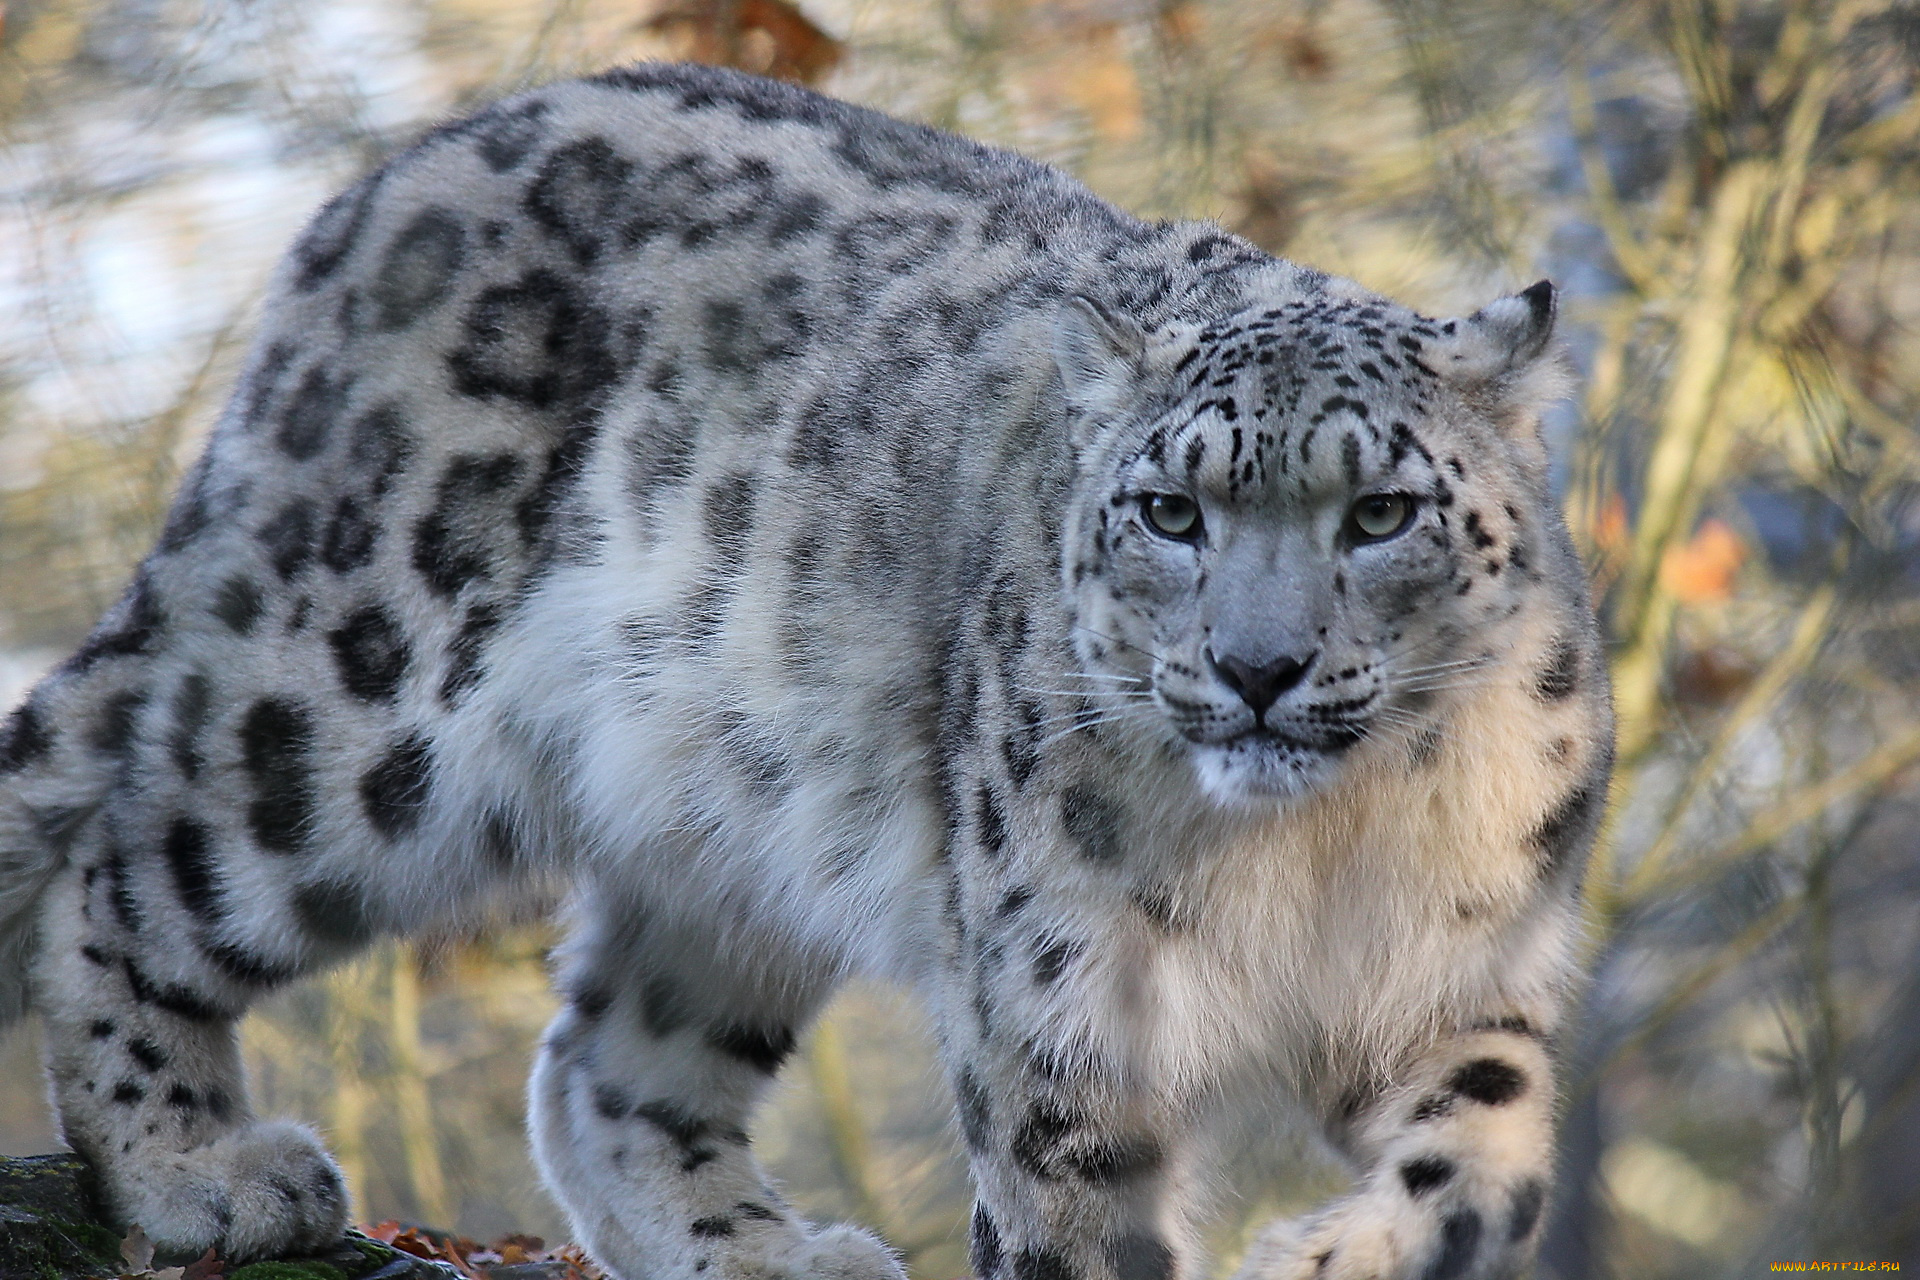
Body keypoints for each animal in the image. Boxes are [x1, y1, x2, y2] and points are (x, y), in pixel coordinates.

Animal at [0, 62, 1605, 1280]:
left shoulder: (1461, 976)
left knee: (602, 1062)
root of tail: (379, 187)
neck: (1322, 849)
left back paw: (768, 1251)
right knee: (129, 868)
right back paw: (198, 1167)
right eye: (1170, 511)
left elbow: (1491, 1159)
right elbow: (1071, 1233)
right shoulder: (1059, 1020)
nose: (1258, 667)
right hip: (361, 706)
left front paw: (1331, 1250)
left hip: (729, 818)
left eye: (1379, 512)